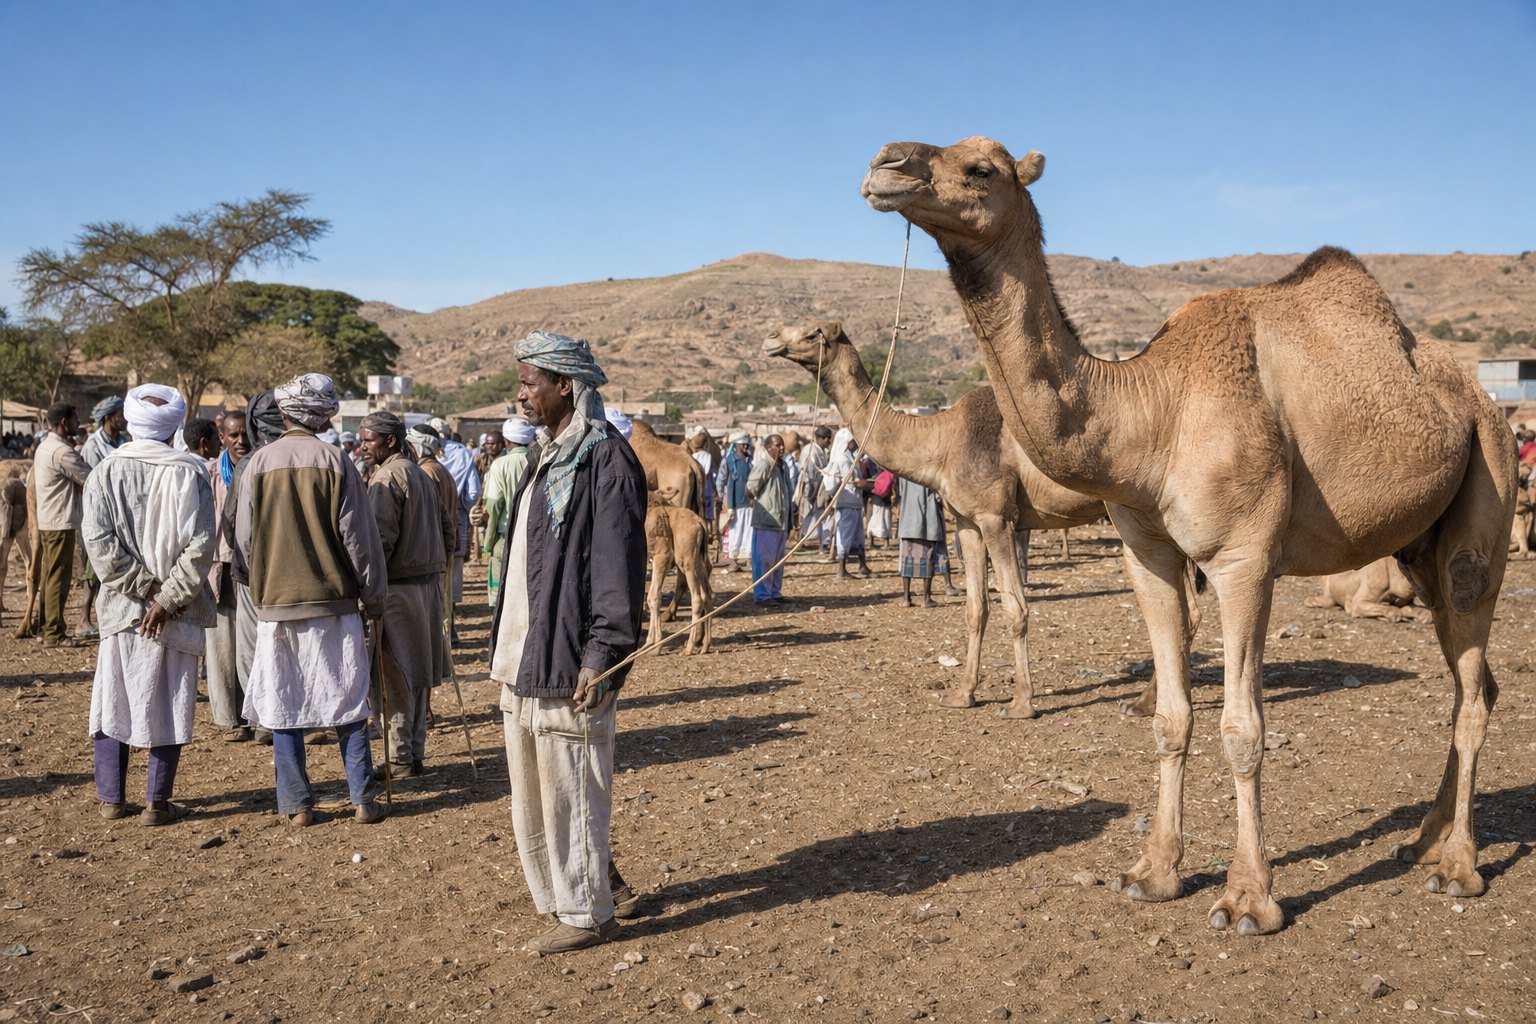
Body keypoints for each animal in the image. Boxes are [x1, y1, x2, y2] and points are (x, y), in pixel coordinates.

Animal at [644, 503, 713, 655]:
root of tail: (700, 522)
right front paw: (648, 644)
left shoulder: (661, 555)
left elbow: (654, 597)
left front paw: (656, 647)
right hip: (696, 558)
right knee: (708, 594)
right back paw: (705, 646)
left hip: (685, 557)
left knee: (697, 597)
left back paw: (689, 648)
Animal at [765, 320, 1118, 717]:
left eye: (813, 332)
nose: (771, 339)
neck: (941, 442)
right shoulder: (968, 522)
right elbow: (976, 608)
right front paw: (963, 694)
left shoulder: (996, 517)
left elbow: (1015, 607)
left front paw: (1022, 702)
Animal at [862, 136, 1515, 934]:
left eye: (982, 167)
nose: (886, 164)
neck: (1151, 410)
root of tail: (1483, 399)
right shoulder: (1146, 554)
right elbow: (1173, 718)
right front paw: (1155, 872)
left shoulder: (1243, 557)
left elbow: (1243, 728)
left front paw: (1248, 898)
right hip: (1418, 546)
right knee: (1469, 682)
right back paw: (1422, 841)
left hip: (1488, 483)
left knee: (1474, 670)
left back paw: (1459, 867)